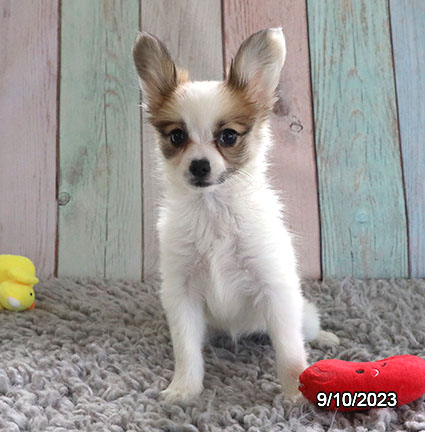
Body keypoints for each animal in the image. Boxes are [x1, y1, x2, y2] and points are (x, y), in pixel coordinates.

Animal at [132, 28, 338, 404]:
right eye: (177, 136)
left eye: (228, 136)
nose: (199, 166)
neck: (213, 210)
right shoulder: (181, 294)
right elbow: (186, 349)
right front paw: (184, 389)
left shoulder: (275, 289)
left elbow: (289, 350)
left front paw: (296, 393)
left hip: (300, 312)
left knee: (306, 328)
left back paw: (326, 337)